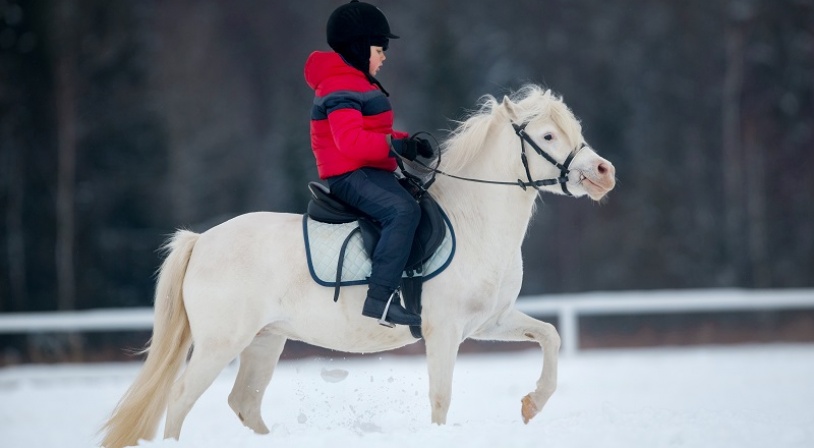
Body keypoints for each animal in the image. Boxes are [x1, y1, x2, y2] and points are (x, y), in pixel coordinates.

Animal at [100, 84, 616, 448]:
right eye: (547, 135)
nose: (603, 173)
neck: (473, 221)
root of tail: (202, 240)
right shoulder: (444, 330)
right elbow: (441, 398)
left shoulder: (490, 322)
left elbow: (550, 335)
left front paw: (532, 404)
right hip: (219, 343)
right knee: (181, 397)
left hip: (265, 341)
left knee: (243, 402)